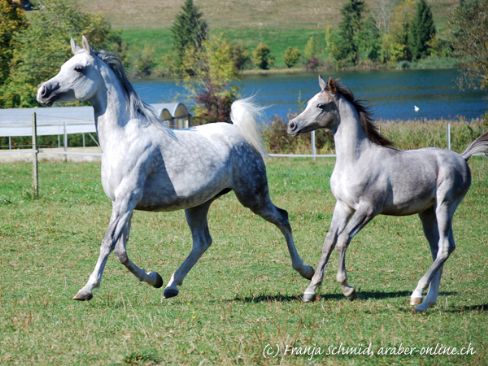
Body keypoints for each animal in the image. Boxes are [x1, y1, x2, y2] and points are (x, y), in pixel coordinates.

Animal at [37, 36, 312, 300]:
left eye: (79, 68)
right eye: (62, 66)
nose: (43, 91)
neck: (124, 137)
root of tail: (239, 133)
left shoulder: (125, 200)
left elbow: (108, 244)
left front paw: (86, 290)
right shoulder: (123, 203)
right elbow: (122, 250)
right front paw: (153, 278)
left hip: (253, 196)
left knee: (282, 218)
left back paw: (306, 271)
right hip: (199, 204)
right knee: (202, 241)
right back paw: (170, 286)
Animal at [288, 76, 486, 310]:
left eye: (320, 105)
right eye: (309, 102)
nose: (292, 125)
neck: (355, 159)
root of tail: (463, 158)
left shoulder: (368, 209)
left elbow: (343, 239)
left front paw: (347, 288)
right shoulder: (343, 205)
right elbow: (329, 241)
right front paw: (310, 290)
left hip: (444, 206)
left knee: (446, 247)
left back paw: (416, 294)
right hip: (427, 213)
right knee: (437, 249)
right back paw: (425, 303)